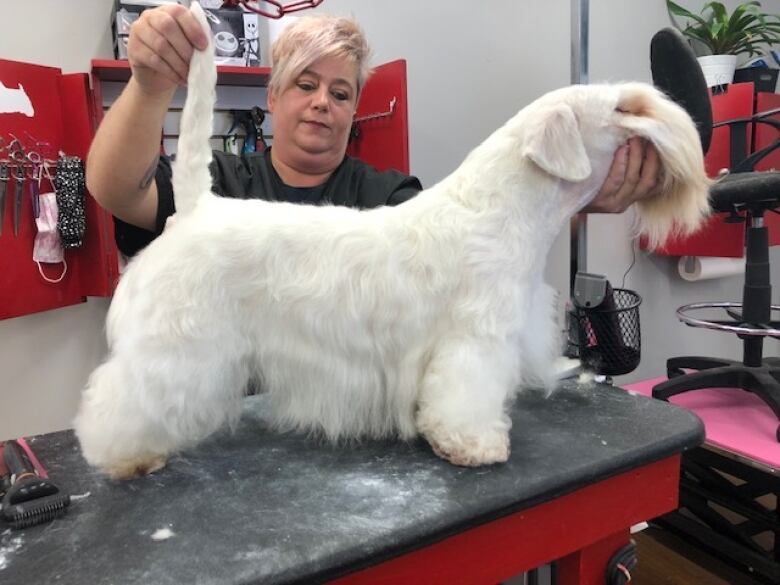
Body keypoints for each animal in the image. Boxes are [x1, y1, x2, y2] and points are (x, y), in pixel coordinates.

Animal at [76, 3, 708, 480]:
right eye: (624, 108)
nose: (688, 130)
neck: (500, 208)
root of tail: (195, 206)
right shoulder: (473, 341)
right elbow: (464, 396)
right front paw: (474, 445)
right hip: (175, 345)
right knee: (124, 396)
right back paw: (127, 455)